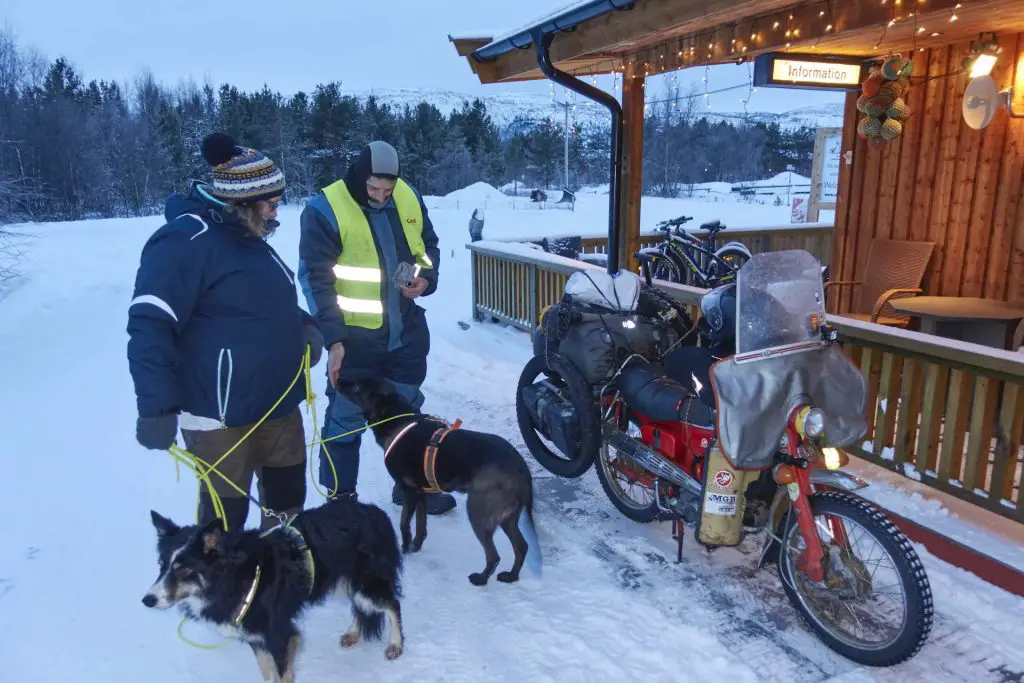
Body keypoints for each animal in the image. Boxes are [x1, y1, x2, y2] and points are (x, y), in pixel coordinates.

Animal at [337, 376, 544, 585]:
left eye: (357, 386)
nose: (338, 380)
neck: (397, 419)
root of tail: (521, 467)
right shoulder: (421, 493)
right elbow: (421, 526)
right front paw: (415, 547)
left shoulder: (410, 491)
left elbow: (404, 523)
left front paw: (405, 550)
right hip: (508, 518)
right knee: (522, 546)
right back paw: (511, 576)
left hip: (478, 511)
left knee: (494, 556)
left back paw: (481, 578)